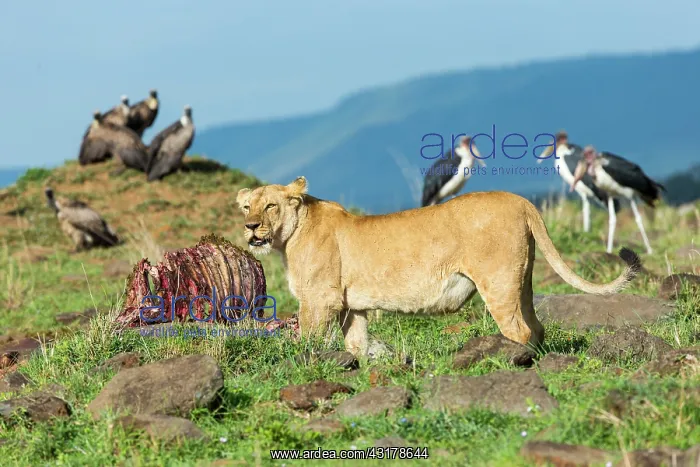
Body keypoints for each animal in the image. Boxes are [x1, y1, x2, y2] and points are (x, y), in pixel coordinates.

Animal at [236, 176, 641, 357]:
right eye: (246, 206)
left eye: (270, 206)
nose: (251, 226)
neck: (289, 237)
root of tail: (522, 200)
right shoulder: (353, 305)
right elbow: (357, 343)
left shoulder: (321, 299)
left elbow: (308, 340)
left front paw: (302, 364)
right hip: (522, 281)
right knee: (536, 326)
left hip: (498, 282)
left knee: (519, 330)